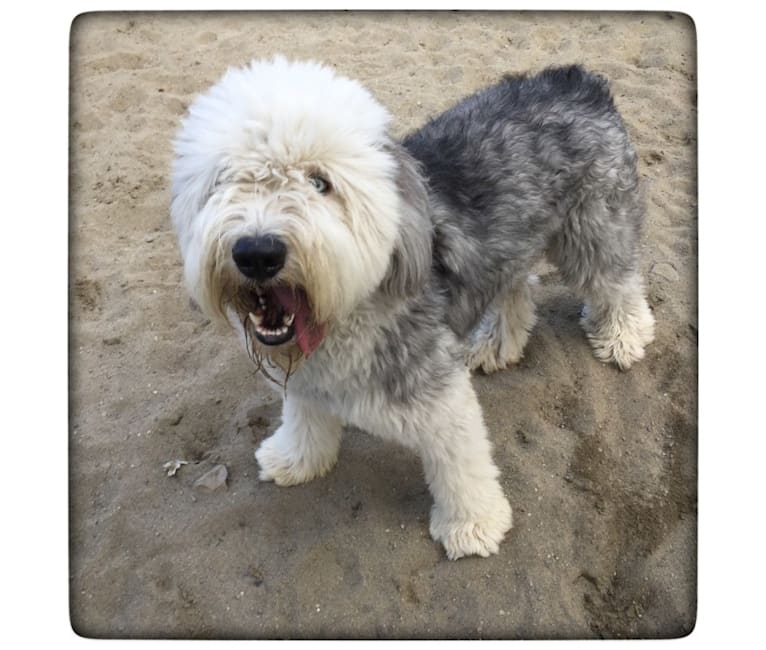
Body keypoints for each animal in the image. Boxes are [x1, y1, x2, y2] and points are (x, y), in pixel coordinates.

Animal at [171, 55, 656, 556]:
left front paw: (472, 524)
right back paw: (497, 343)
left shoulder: (440, 396)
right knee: (516, 287)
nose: (257, 252)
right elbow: (304, 420)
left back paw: (623, 335)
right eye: (225, 179)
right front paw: (295, 459)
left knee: (616, 281)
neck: (352, 311)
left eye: (320, 183)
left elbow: (461, 465)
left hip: (594, 229)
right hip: (512, 243)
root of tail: (574, 78)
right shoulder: (307, 380)